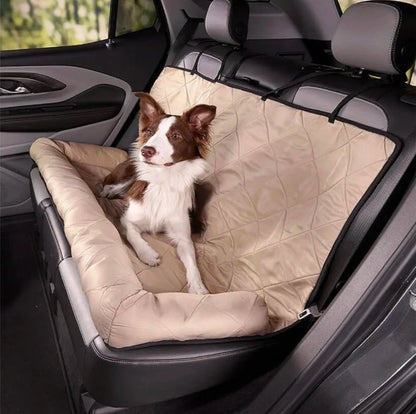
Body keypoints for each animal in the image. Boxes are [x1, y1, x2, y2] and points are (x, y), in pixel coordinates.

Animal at [101, 93, 216, 294]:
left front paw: (198, 288)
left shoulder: (183, 237)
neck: (164, 179)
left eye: (176, 136)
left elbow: (192, 263)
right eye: (149, 132)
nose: (145, 151)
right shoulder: (128, 219)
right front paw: (147, 254)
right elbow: (132, 234)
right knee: (110, 186)